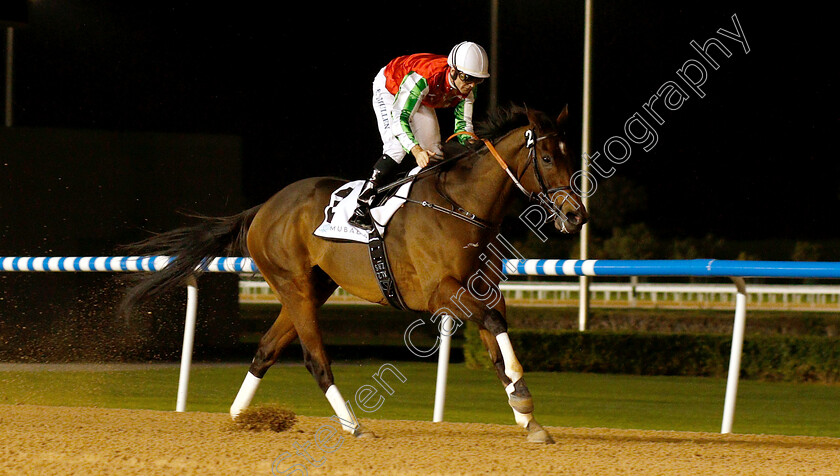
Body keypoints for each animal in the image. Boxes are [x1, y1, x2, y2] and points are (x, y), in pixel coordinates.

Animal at [120, 103, 592, 442]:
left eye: (572, 155)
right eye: (546, 156)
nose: (576, 215)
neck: (461, 206)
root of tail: (263, 208)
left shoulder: (484, 289)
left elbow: (495, 343)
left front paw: (529, 418)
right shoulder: (441, 292)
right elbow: (493, 325)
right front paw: (524, 398)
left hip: (312, 287)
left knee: (266, 350)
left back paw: (239, 418)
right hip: (293, 284)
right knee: (315, 359)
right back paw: (353, 425)